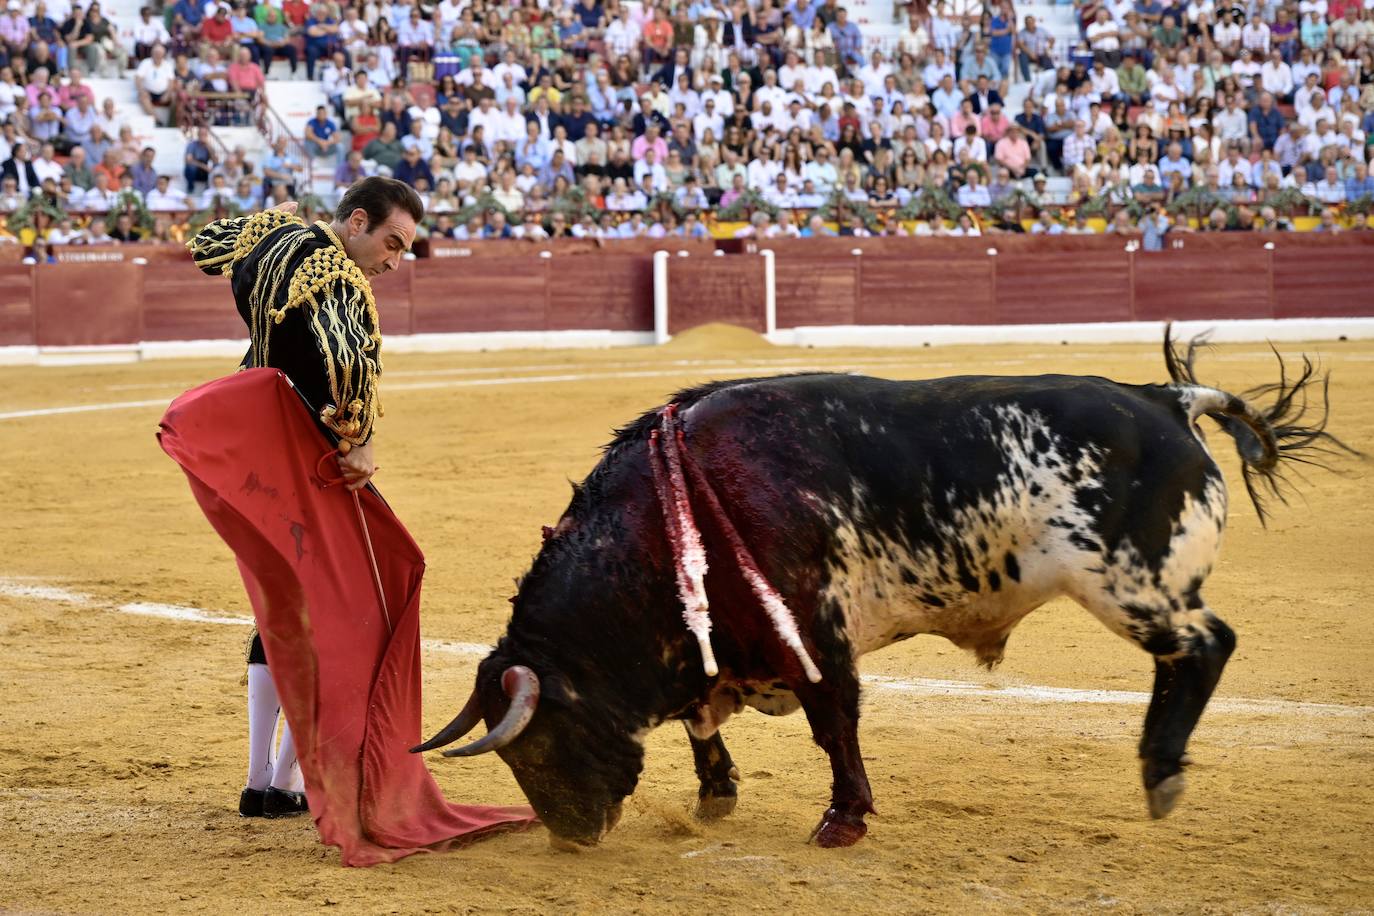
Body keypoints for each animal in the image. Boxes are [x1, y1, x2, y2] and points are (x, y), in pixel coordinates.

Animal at [409, 330, 1352, 851]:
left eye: (536, 747)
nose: (573, 839)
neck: (672, 513)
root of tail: (1163, 399)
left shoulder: (813, 636)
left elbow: (835, 725)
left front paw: (843, 822)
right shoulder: (719, 644)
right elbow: (699, 718)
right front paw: (717, 796)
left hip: (1129, 585)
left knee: (1205, 646)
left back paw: (1160, 773)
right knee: (1187, 655)